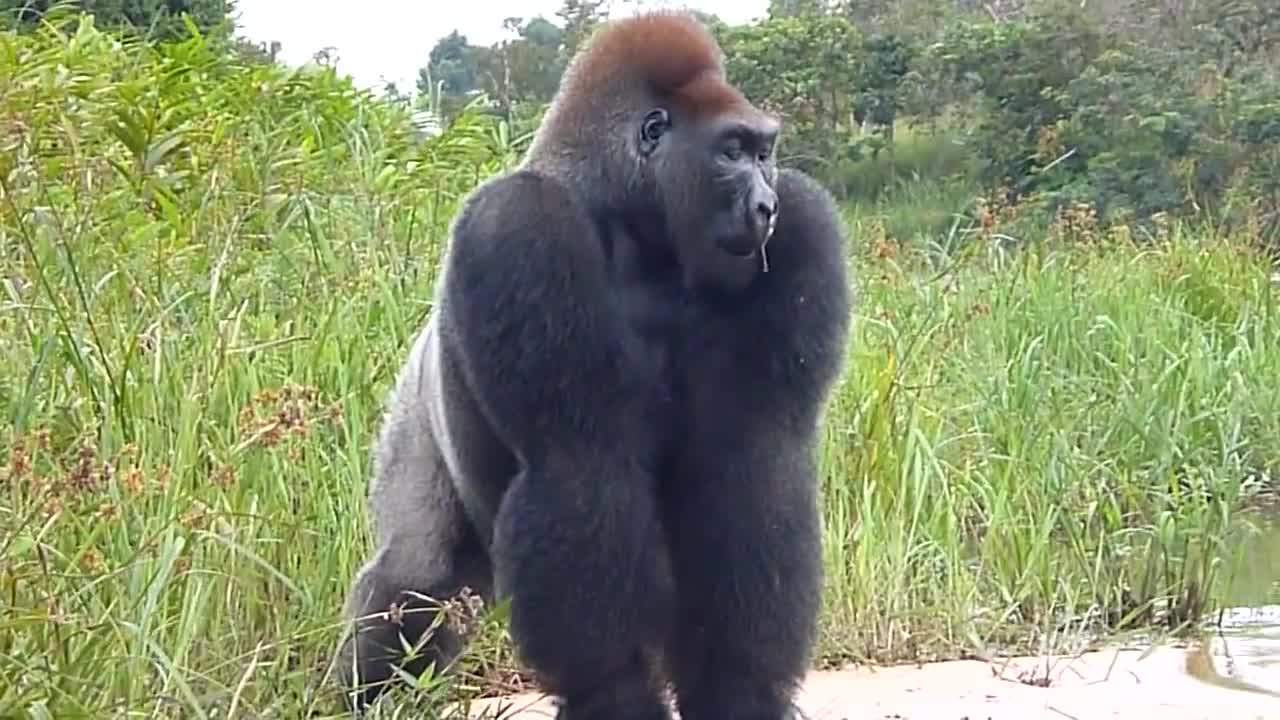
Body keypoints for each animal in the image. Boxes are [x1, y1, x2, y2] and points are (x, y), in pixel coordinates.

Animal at [335, 11, 855, 717]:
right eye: (731, 151)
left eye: (764, 153)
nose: (764, 206)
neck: (636, 223)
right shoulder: (520, 227)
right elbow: (580, 466)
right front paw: (616, 695)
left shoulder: (804, 227)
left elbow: (753, 463)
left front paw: (741, 689)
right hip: (414, 410)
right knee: (417, 574)